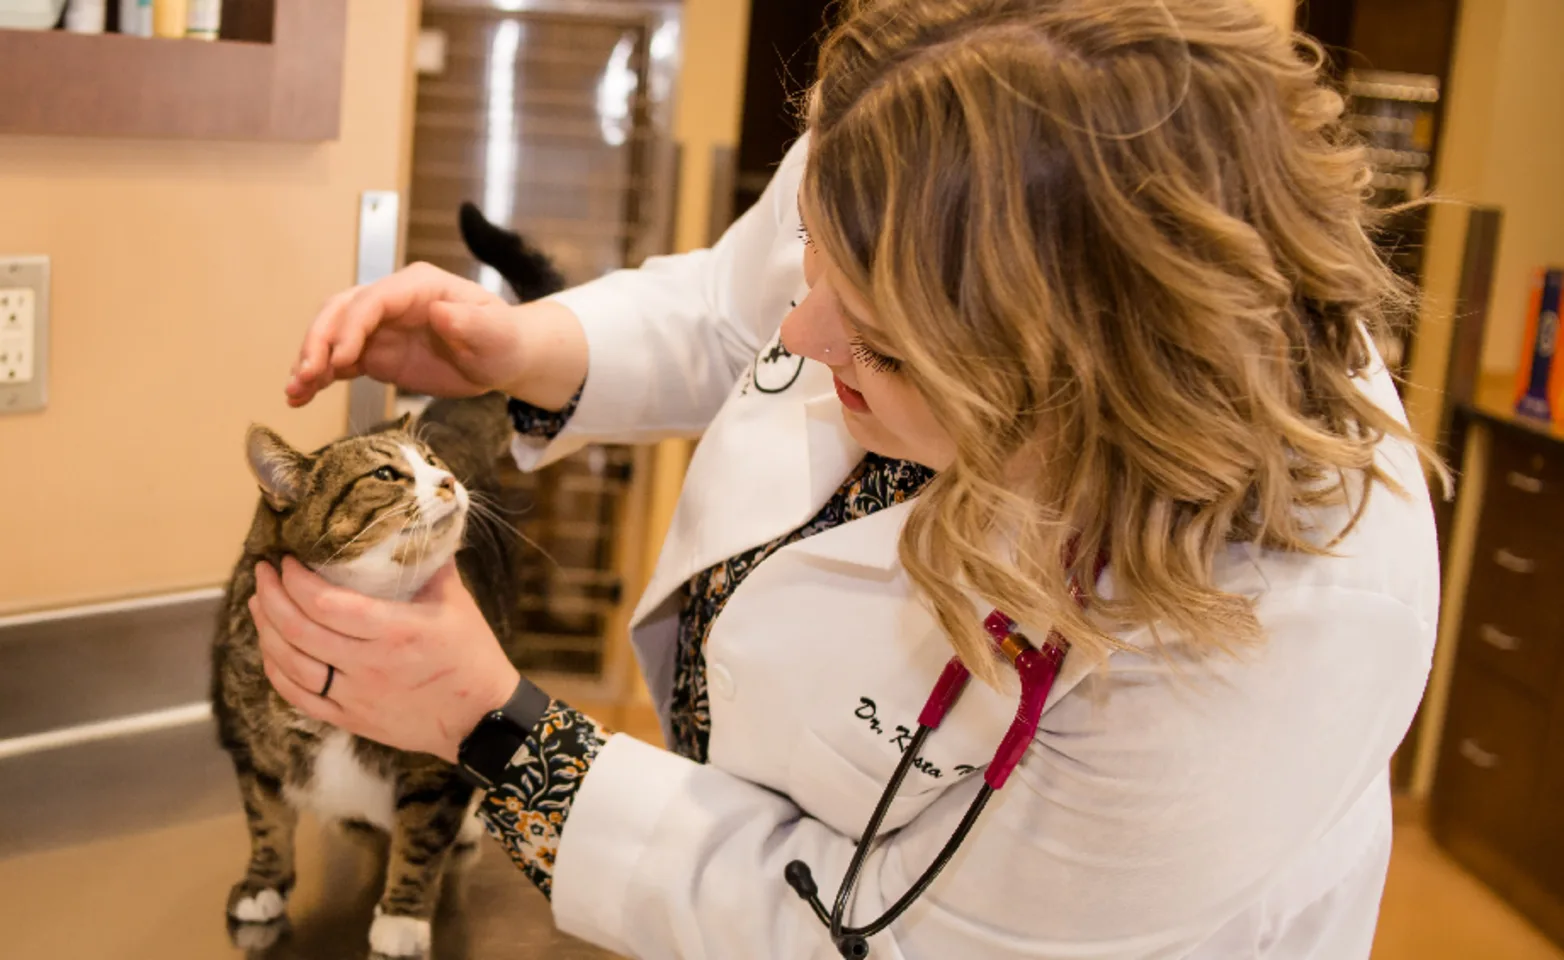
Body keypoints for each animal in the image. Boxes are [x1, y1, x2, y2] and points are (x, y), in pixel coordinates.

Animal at [215, 214, 563, 956]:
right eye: (385, 475)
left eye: (428, 461)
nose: (448, 480)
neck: (364, 602)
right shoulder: (250, 742)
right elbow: (265, 817)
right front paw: (263, 883)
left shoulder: (433, 768)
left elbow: (422, 837)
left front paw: (402, 915)